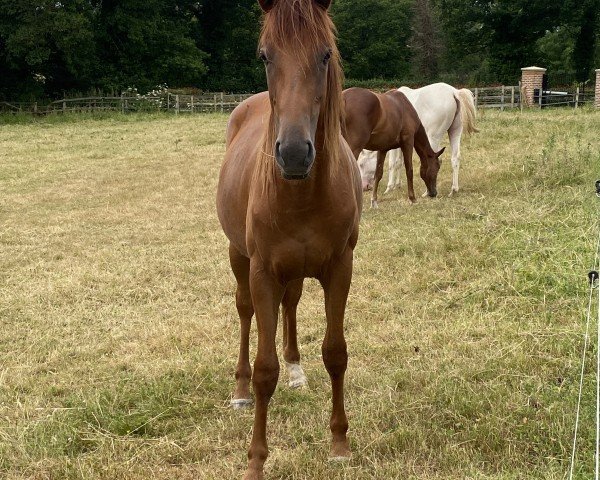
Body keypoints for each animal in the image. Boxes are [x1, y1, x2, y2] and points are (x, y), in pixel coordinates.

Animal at [218, 1, 364, 478]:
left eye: (324, 55)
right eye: (265, 56)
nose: (295, 153)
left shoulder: (339, 268)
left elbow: (336, 352)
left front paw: (339, 443)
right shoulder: (263, 271)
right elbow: (266, 369)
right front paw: (255, 460)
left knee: (292, 304)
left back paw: (297, 369)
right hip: (239, 258)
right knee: (245, 313)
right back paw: (240, 391)